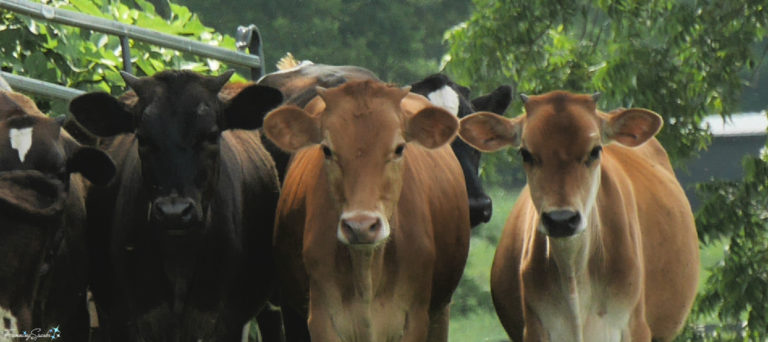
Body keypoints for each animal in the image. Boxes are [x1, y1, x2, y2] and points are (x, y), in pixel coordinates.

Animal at [460, 91, 700, 342]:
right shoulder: (535, 328)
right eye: (526, 153)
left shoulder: (635, 327)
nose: (561, 220)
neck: (574, 275)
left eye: (595, 150)